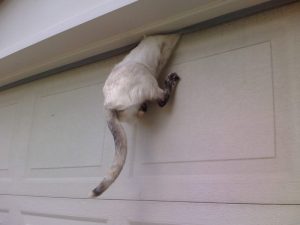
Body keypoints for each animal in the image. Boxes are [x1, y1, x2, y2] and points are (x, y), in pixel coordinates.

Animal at [90, 33, 180, 197]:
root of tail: (107, 105)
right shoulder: (165, 46)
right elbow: (173, 40)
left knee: (144, 109)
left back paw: (144, 107)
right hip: (149, 82)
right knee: (162, 99)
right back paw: (171, 80)